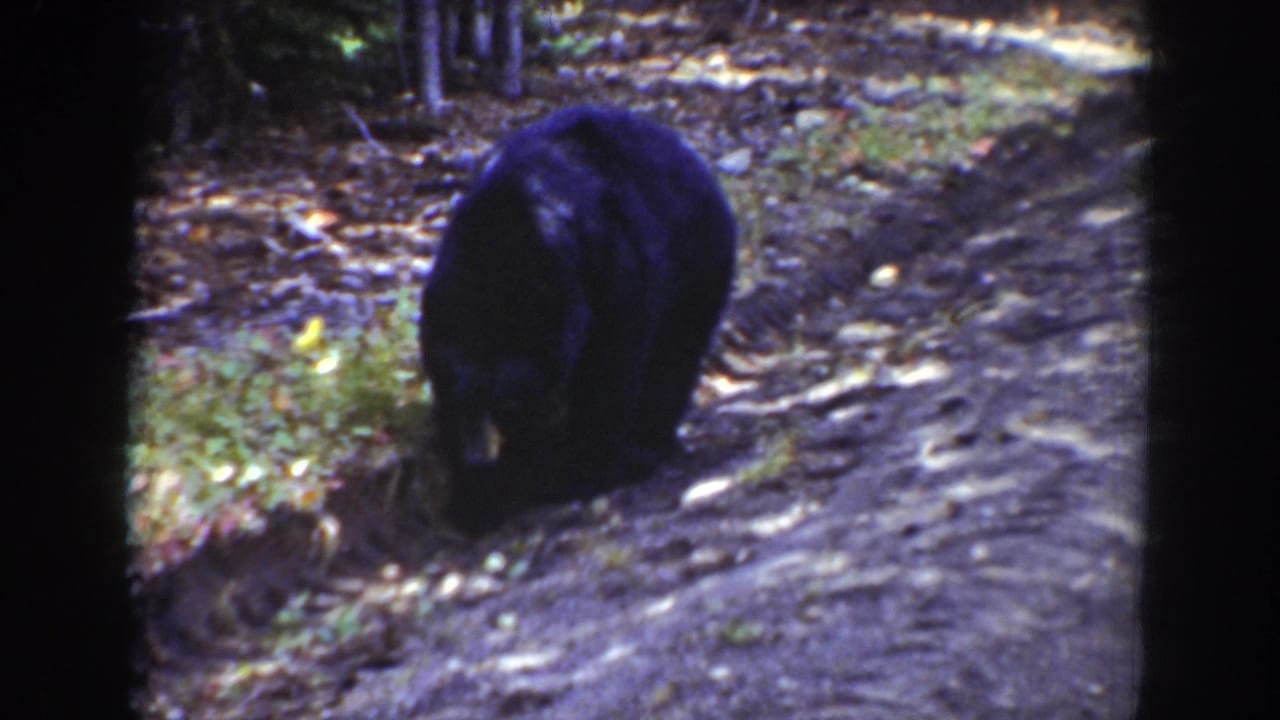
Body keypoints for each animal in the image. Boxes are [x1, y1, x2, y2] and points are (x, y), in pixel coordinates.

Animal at [419, 106, 736, 535]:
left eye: (512, 398)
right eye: (480, 399)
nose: (533, 419)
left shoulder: (613, 279)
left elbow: (610, 373)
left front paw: (575, 471)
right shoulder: (444, 324)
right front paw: (474, 498)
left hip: (699, 262)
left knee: (673, 359)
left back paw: (644, 446)